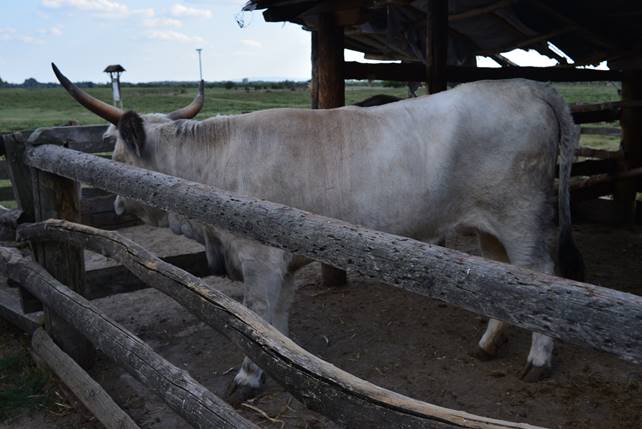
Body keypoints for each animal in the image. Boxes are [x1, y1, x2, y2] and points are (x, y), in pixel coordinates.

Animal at [52, 63, 584, 403]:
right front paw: (280, 362)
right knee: (503, 281)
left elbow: (256, 313)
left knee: (542, 276)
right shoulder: (282, 260)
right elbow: (276, 318)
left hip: (521, 216)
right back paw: (489, 344)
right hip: (487, 226)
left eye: (116, 151)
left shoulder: (259, 256)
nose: (116, 202)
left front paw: (247, 379)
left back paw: (539, 361)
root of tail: (530, 85)